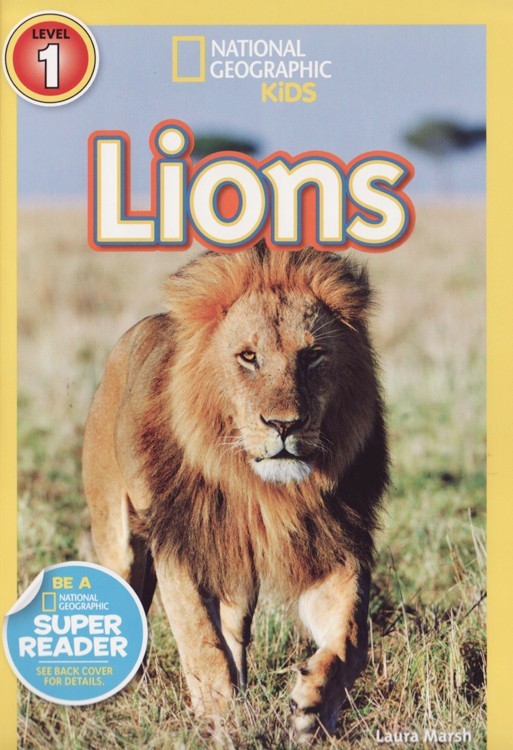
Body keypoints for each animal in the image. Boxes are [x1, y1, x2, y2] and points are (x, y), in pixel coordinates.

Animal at [83, 243, 389, 740]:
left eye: (313, 356)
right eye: (248, 357)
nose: (284, 425)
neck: (260, 491)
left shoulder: (330, 546)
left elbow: (351, 637)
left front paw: (314, 706)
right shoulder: (182, 545)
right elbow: (200, 640)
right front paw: (220, 719)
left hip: (238, 575)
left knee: (234, 631)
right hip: (117, 536)